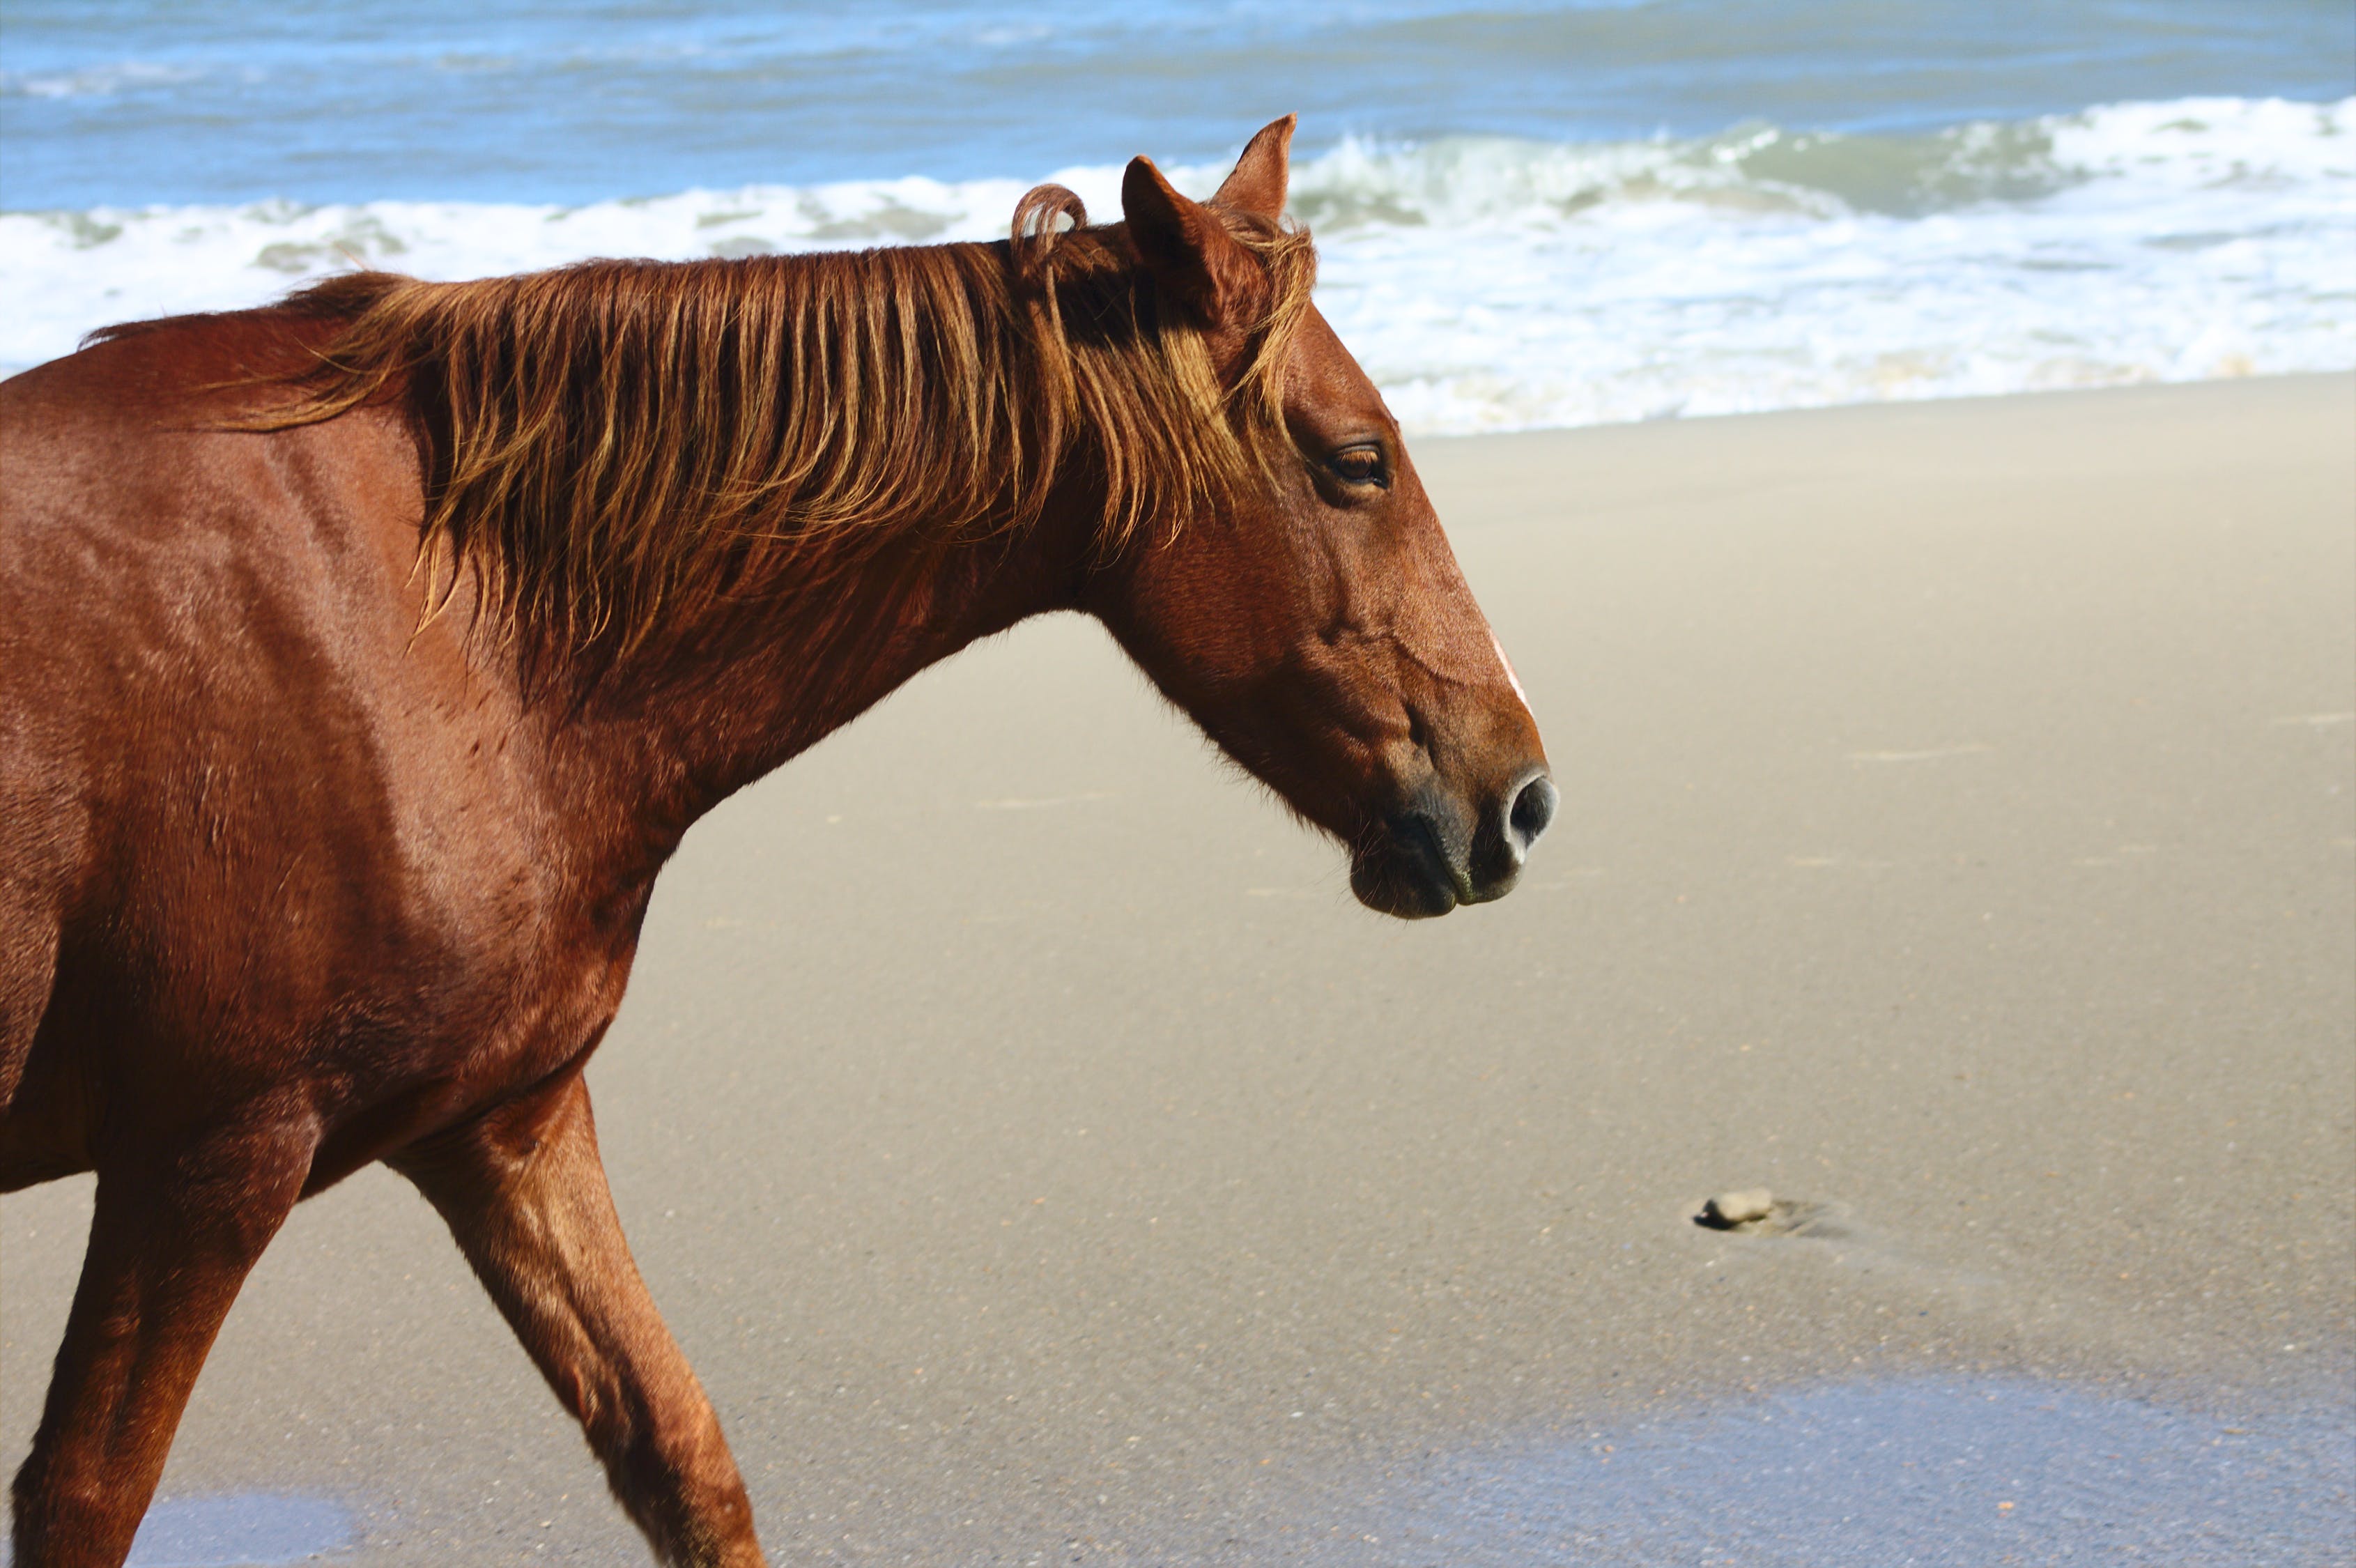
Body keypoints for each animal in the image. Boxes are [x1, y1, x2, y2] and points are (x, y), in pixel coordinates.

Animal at [0, 122, 1555, 1565]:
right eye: (1357, 462)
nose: (1522, 797)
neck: (446, 618)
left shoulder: (503, 1121)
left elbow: (681, 1452)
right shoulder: (207, 1162)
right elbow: (84, 1498)